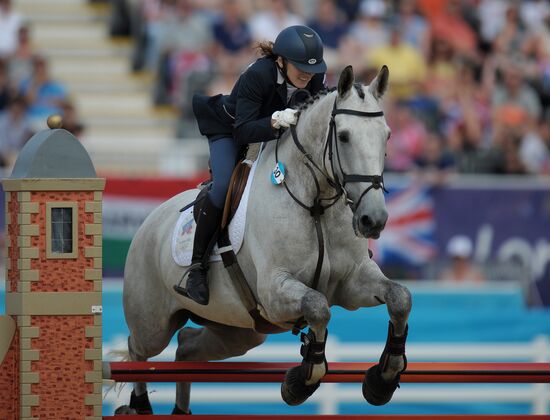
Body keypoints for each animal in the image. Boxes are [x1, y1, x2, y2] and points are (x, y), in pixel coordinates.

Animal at [121, 65, 414, 414]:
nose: (374, 219)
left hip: (240, 330)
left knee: (186, 347)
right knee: (137, 350)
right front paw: (300, 383)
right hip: (153, 323)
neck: (316, 203)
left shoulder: (352, 282)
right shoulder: (274, 291)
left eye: (387, 135)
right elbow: (318, 307)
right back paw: (139, 406)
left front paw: (382, 379)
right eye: (343, 136)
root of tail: (149, 221)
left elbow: (400, 297)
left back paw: (179, 409)